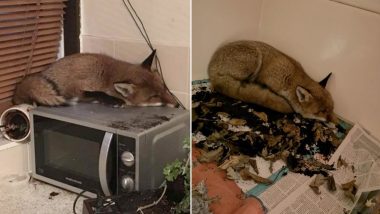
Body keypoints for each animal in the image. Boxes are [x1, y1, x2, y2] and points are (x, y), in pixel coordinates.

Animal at [11, 50, 178, 107]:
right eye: (154, 96)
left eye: (164, 88)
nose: (177, 105)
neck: (107, 77)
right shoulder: (77, 88)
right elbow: (98, 93)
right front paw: (114, 101)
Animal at [208, 40, 336, 122]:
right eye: (322, 111)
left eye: (332, 109)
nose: (333, 123)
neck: (291, 79)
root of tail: (211, 68)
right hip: (255, 59)